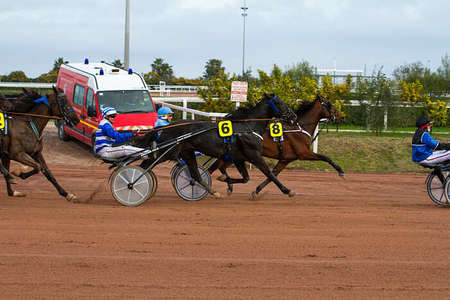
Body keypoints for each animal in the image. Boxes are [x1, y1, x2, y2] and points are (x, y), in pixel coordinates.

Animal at [133, 92, 298, 198]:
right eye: (280, 103)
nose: (294, 117)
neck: (247, 127)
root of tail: (165, 127)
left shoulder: (239, 158)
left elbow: (245, 178)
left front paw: (226, 181)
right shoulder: (254, 156)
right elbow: (270, 174)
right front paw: (287, 190)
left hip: (187, 152)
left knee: (195, 175)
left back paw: (212, 191)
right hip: (167, 152)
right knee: (145, 164)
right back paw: (133, 183)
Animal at [210, 94, 344, 197]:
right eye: (330, 105)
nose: (341, 116)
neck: (299, 128)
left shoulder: (285, 160)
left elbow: (272, 175)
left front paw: (257, 191)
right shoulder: (303, 153)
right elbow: (325, 157)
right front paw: (341, 171)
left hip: (235, 156)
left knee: (221, 167)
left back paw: (227, 184)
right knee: (213, 168)